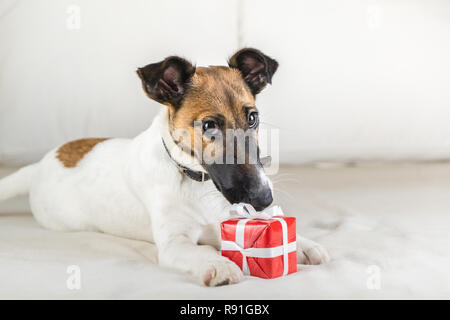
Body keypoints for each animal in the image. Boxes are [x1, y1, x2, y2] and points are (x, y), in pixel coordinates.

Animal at [0, 48, 330, 286]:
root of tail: (40, 164)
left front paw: (302, 244)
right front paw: (219, 264)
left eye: (252, 118)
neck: (196, 180)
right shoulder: (174, 242)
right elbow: (201, 250)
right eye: (208, 126)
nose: (263, 199)